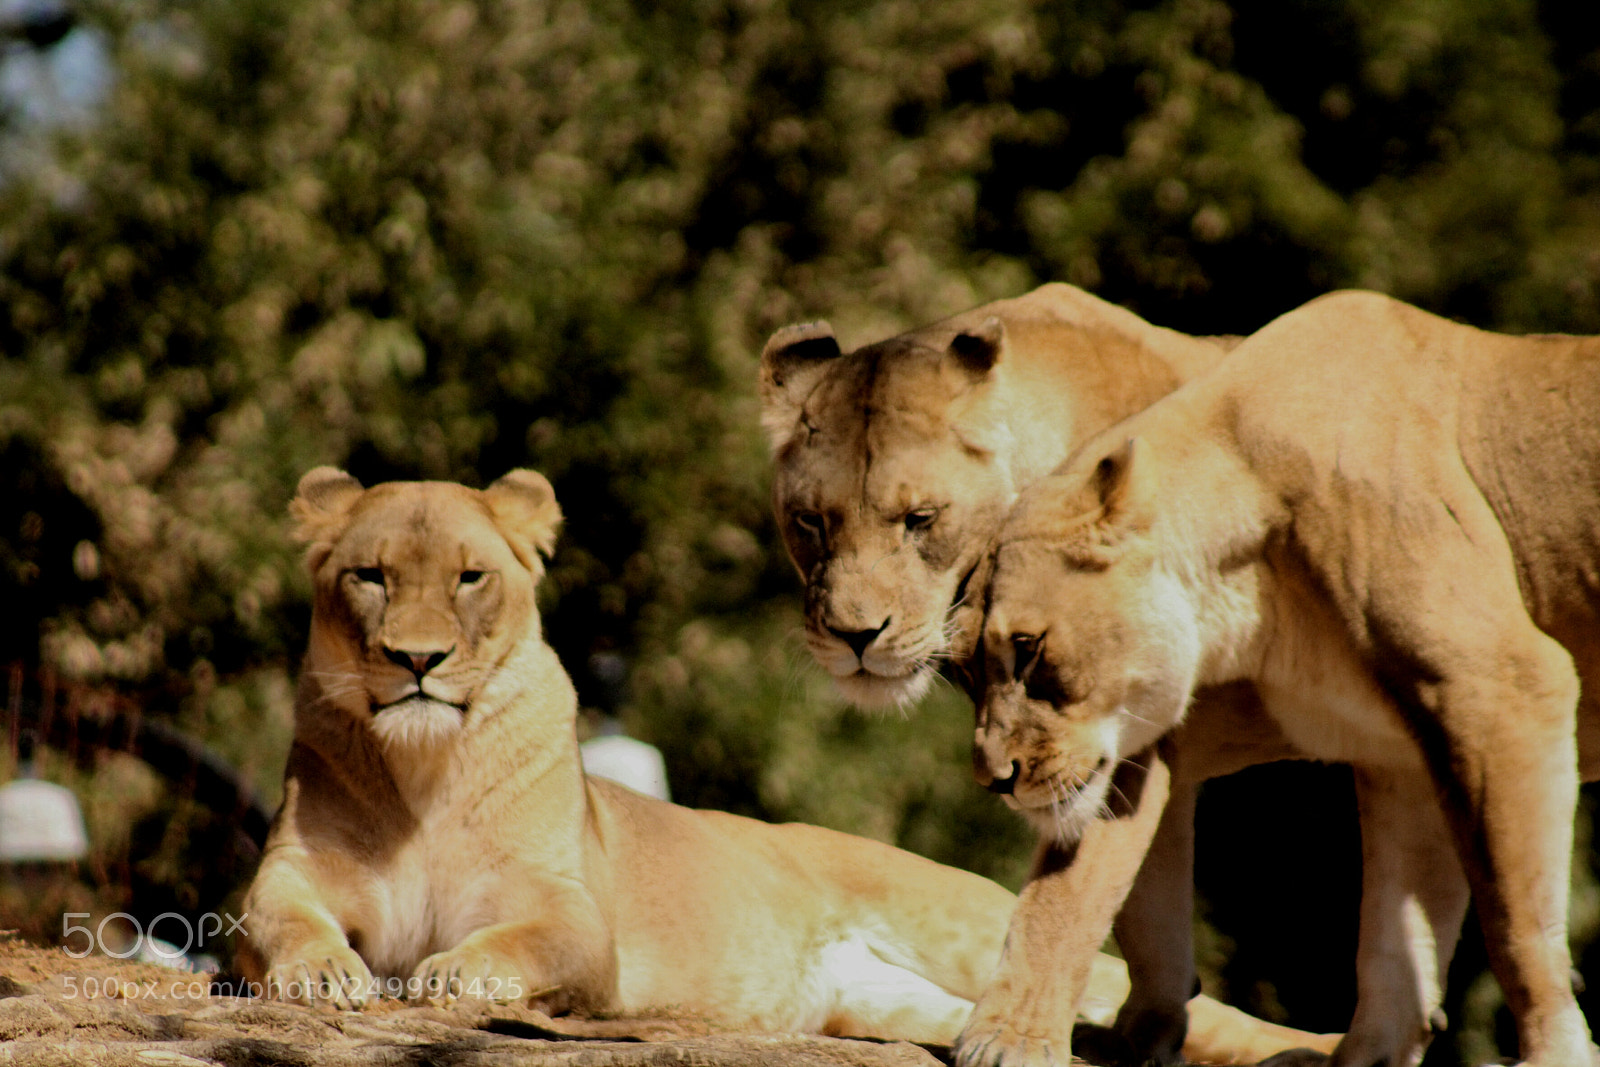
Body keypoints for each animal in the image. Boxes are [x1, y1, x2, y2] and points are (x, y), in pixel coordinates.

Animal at [235, 467, 1334, 1059]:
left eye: (469, 577)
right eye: (370, 576)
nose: (416, 660)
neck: (426, 767)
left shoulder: (579, 919)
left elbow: (513, 944)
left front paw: (448, 972)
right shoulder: (283, 876)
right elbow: (280, 923)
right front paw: (326, 973)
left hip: (965, 925)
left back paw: (1320, 1046)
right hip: (892, 1000)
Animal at [970, 290, 1600, 1067]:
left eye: (1026, 648)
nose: (994, 776)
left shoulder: (1501, 687)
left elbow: (1517, 920)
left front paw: (1554, 1054)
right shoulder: (1406, 756)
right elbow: (1395, 942)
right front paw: (1367, 1057)